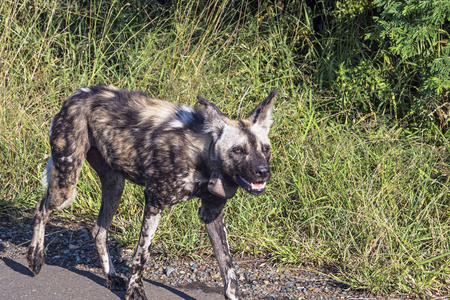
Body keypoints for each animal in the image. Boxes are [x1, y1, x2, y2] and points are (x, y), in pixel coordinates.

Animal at [27, 85, 278, 300]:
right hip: (66, 185)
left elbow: (228, 267)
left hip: (114, 186)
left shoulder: (212, 213)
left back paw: (110, 277)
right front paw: (135, 291)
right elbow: (142, 254)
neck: (202, 153)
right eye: (238, 151)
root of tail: (74, 96)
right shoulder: (155, 202)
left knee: (99, 230)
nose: (262, 172)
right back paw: (35, 258)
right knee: (41, 208)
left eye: (265, 149)